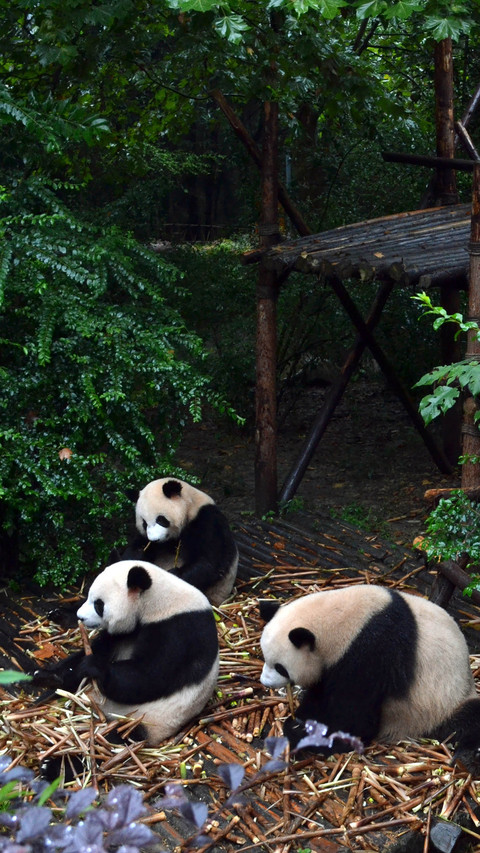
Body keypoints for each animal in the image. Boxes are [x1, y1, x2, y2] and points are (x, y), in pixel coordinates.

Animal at [36, 560, 219, 748]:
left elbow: (150, 677)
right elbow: (100, 650)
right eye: (87, 596)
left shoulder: (179, 631)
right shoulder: (126, 633)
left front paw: (94, 667)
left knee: (125, 734)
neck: (157, 601)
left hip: (151, 719)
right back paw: (47, 679)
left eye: (99, 604)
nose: (81, 617)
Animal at [124, 477, 238, 607]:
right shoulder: (145, 537)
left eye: (160, 520)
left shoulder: (208, 520)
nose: (154, 539)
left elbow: (210, 562)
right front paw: (138, 555)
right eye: (144, 523)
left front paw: (174, 574)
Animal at [259, 585, 480, 770]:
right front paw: (303, 720)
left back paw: (468, 757)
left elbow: (355, 714)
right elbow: (322, 695)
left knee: (468, 719)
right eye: (264, 656)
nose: (264, 682)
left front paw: (305, 732)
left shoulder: (374, 649)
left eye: (280, 668)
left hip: (447, 701)